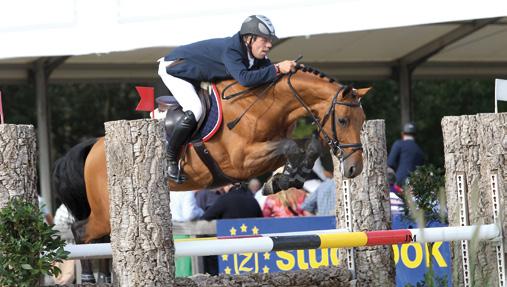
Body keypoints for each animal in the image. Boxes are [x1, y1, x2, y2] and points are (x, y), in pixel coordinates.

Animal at [52, 66, 370, 248]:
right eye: (343, 120)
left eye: (362, 120)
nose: (354, 169)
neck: (263, 105)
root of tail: (95, 145)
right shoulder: (241, 161)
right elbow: (291, 146)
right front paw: (282, 180)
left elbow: (304, 147)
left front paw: (283, 180)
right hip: (106, 211)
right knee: (81, 232)